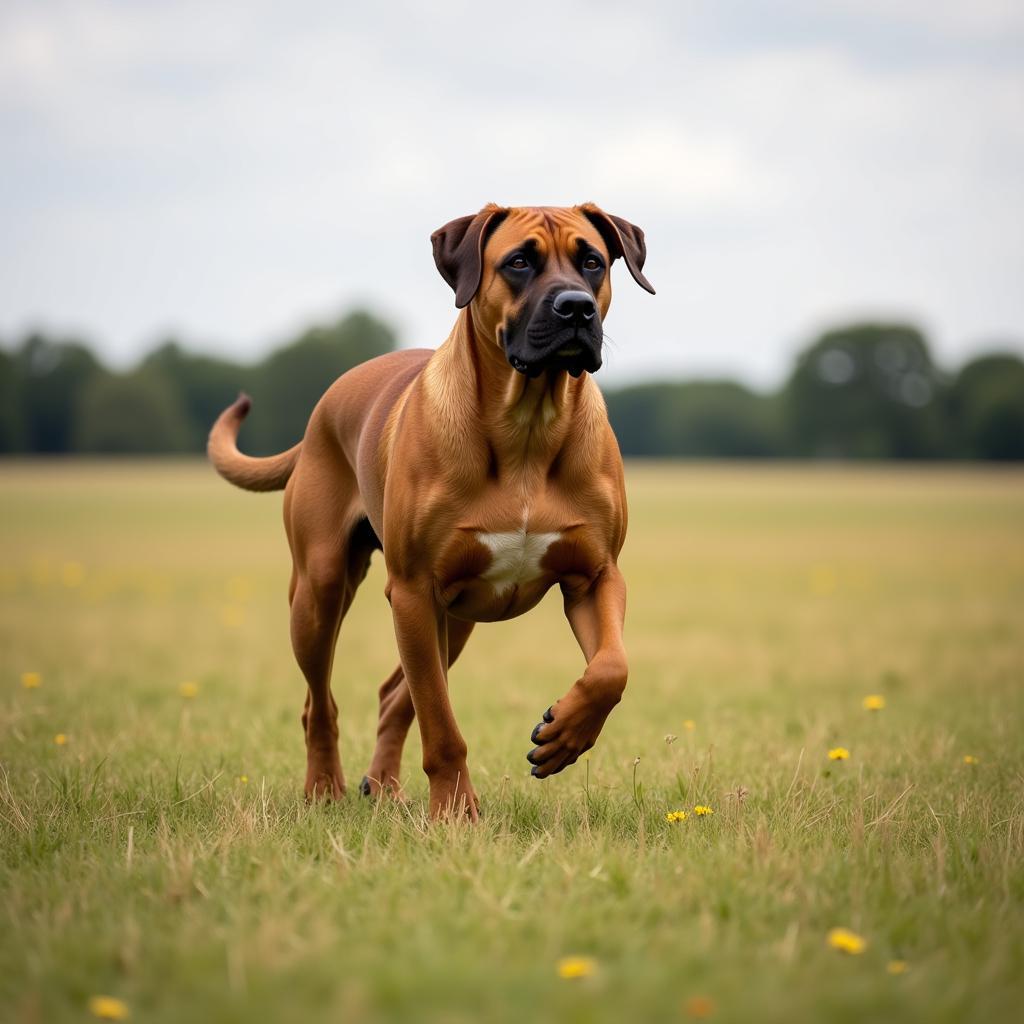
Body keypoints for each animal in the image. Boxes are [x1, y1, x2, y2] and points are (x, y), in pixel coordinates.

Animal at [208, 203, 655, 819]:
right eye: (519, 262)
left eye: (592, 261)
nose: (576, 307)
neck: (528, 425)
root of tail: (322, 407)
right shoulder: (414, 589)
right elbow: (441, 725)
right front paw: (456, 811)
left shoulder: (595, 576)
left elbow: (613, 667)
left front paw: (565, 734)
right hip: (322, 591)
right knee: (321, 702)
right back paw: (325, 787)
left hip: (458, 618)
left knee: (394, 695)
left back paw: (383, 786)